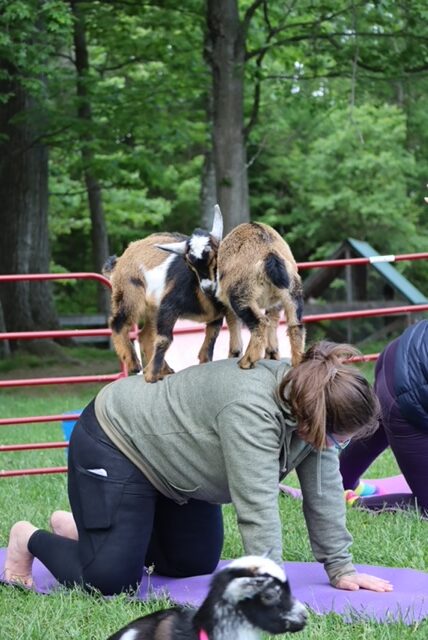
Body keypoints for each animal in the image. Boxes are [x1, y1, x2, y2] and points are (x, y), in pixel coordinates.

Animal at [103, 208, 237, 382]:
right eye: (189, 263)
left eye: (216, 256)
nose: (208, 287)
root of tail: (119, 260)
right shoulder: (169, 306)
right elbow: (164, 339)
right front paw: (151, 376)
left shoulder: (216, 315)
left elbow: (211, 337)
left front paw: (205, 362)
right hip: (129, 292)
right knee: (118, 322)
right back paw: (134, 364)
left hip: (153, 309)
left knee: (145, 335)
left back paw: (165, 369)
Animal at [216, 221, 306, 368]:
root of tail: (270, 254)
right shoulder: (276, 303)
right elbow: (274, 320)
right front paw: (273, 355)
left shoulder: (227, 300)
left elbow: (232, 322)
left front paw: (234, 354)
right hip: (292, 292)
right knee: (295, 325)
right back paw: (298, 362)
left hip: (241, 295)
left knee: (260, 322)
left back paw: (247, 361)